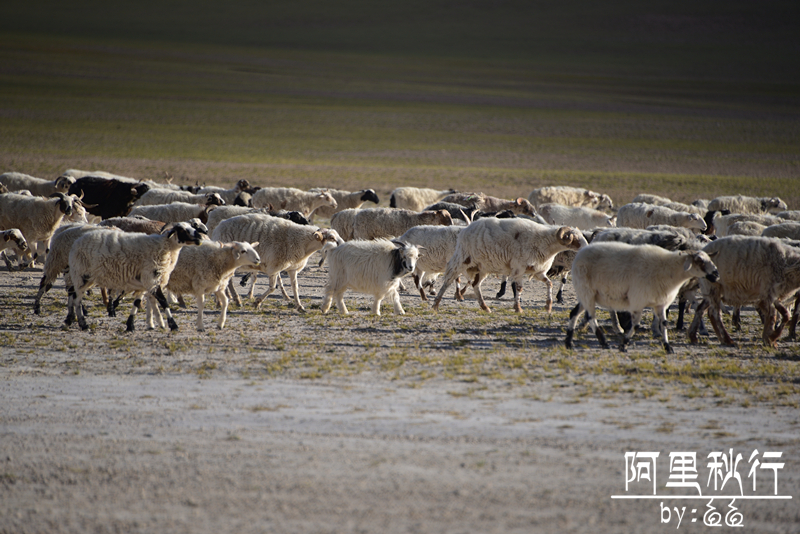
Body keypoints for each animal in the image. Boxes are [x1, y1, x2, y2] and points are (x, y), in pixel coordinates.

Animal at [66, 222, 203, 330]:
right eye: (182, 230)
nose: (200, 238)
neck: (165, 248)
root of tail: (77, 242)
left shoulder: (143, 283)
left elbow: (137, 303)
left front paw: (130, 325)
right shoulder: (151, 279)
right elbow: (163, 302)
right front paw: (173, 325)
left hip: (88, 277)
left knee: (74, 295)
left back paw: (75, 321)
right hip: (81, 274)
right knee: (77, 298)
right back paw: (82, 323)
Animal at [211, 215, 342, 314]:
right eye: (331, 237)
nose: (343, 245)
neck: (301, 241)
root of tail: (218, 227)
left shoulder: (292, 269)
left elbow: (295, 287)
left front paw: (300, 307)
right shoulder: (274, 267)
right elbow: (273, 288)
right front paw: (257, 303)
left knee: (227, 281)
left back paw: (229, 300)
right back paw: (227, 301)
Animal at [432, 220, 588, 316]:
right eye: (574, 238)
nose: (586, 247)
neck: (544, 241)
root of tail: (465, 229)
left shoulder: (538, 271)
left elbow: (549, 283)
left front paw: (548, 306)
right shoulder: (519, 268)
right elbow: (519, 288)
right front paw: (518, 308)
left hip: (482, 267)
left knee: (476, 285)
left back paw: (485, 307)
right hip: (462, 260)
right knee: (448, 280)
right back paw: (436, 304)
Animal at [564, 244, 720, 354]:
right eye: (699, 260)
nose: (716, 274)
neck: (669, 271)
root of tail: (579, 254)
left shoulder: (660, 303)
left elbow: (664, 324)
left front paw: (668, 347)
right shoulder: (637, 301)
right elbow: (636, 326)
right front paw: (623, 345)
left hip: (587, 294)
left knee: (574, 313)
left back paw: (569, 343)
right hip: (587, 291)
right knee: (591, 317)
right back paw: (603, 342)